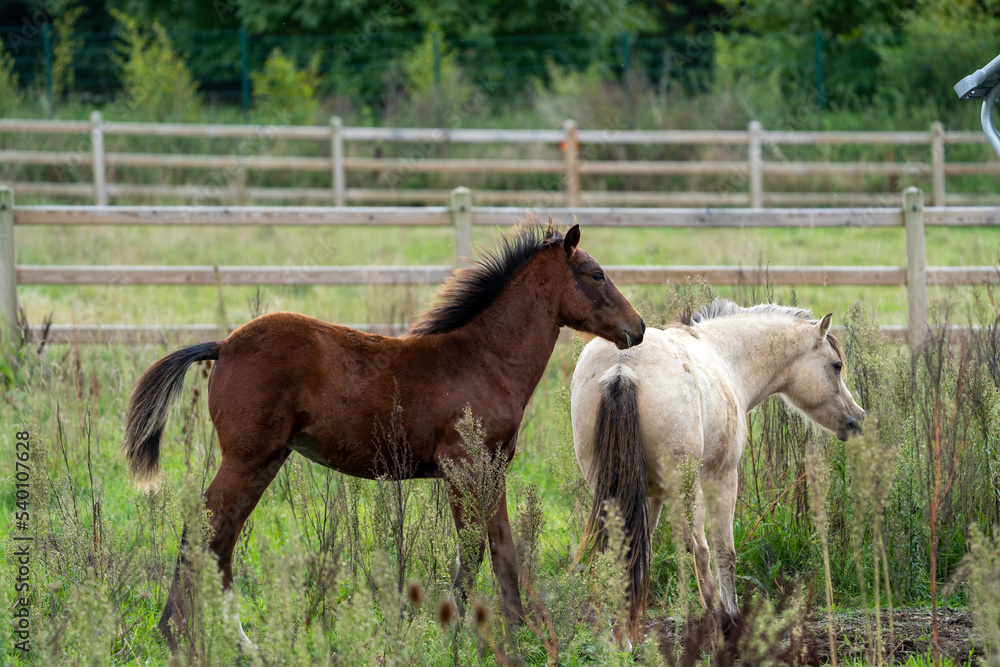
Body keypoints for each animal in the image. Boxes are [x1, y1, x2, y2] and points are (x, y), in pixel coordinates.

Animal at [122, 220, 645, 649]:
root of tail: (225, 344)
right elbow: (473, 547)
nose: (637, 328)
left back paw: (235, 640)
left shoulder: (492, 469)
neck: (485, 359)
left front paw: (521, 632)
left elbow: (502, 549)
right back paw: (177, 633)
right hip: (247, 456)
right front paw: (450, 628)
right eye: (596, 274)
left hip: (264, 460)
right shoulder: (461, 468)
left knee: (222, 538)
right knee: (205, 528)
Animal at [570, 299, 865, 642]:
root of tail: (622, 366)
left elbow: (643, 553)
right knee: (699, 549)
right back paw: (717, 622)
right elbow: (725, 551)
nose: (858, 418)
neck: (724, 357)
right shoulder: (723, 478)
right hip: (688, 488)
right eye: (836, 366)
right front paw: (731, 618)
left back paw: (624, 641)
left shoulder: (651, 495)